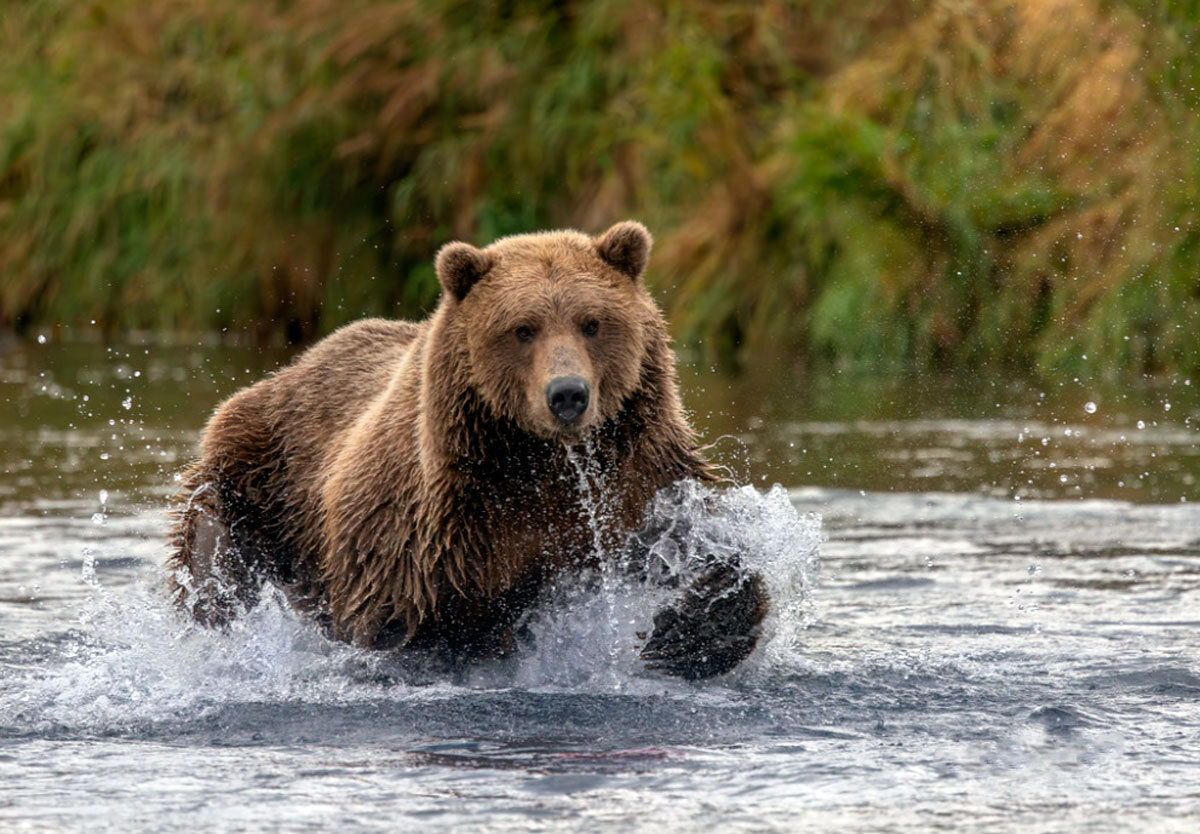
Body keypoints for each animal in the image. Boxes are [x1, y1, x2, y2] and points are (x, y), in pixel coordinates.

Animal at [169, 220, 768, 676]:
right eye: (523, 328)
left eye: (593, 322)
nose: (568, 395)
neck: (540, 459)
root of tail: (289, 371)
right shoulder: (431, 528)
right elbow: (408, 623)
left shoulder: (637, 476)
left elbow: (693, 544)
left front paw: (692, 622)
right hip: (255, 482)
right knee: (215, 565)